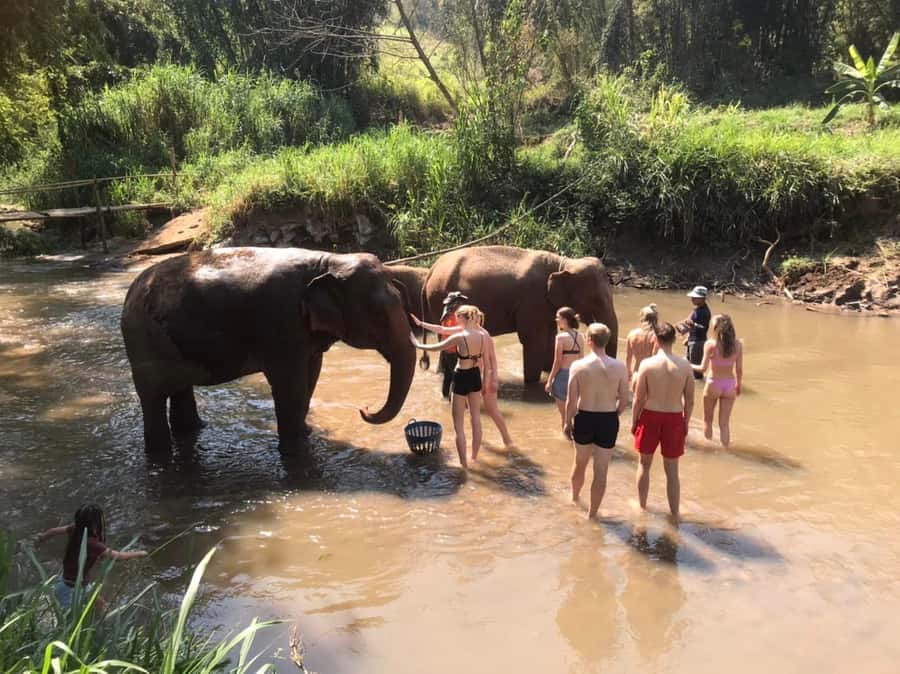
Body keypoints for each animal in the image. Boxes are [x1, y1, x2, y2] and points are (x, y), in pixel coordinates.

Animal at [121, 247, 416, 454]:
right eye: (378, 315)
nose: (364, 409)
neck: (329, 260)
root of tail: (130, 293)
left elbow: (311, 376)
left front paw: (305, 433)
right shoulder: (281, 322)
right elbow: (290, 385)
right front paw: (296, 451)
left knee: (180, 390)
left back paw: (193, 431)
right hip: (142, 342)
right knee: (152, 398)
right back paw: (159, 456)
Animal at [420, 245, 618, 383]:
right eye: (596, 300)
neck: (563, 263)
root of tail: (431, 271)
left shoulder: (545, 305)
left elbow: (550, 338)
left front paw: (548, 373)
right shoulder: (532, 300)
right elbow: (534, 341)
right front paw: (532, 383)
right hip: (439, 298)